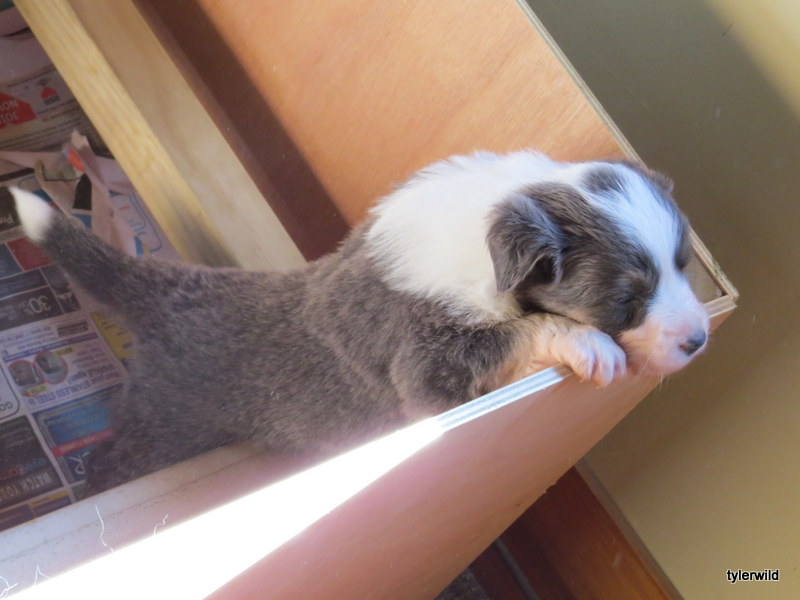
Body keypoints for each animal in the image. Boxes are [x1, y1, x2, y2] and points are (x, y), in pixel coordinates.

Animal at [9, 150, 709, 494]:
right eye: (625, 301)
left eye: (683, 263)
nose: (700, 340)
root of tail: (169, 291)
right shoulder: (426, 366)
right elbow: (511, 336)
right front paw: (591, 348)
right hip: (162, 426)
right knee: (108, 463)